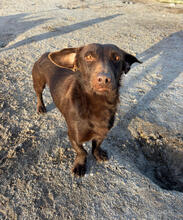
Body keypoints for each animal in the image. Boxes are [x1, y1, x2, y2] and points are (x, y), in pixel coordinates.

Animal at [31, 43, 142, 176]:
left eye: (117, 58)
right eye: (88, 57)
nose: (104, 79)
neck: (98, 102)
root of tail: (44, 54)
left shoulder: (101, 133)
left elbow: (96, 145)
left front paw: (98, 154)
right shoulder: (73, 136)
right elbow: (82, 151)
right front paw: (80, 165)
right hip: (39, 83)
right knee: (39, 94)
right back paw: (41, 107)